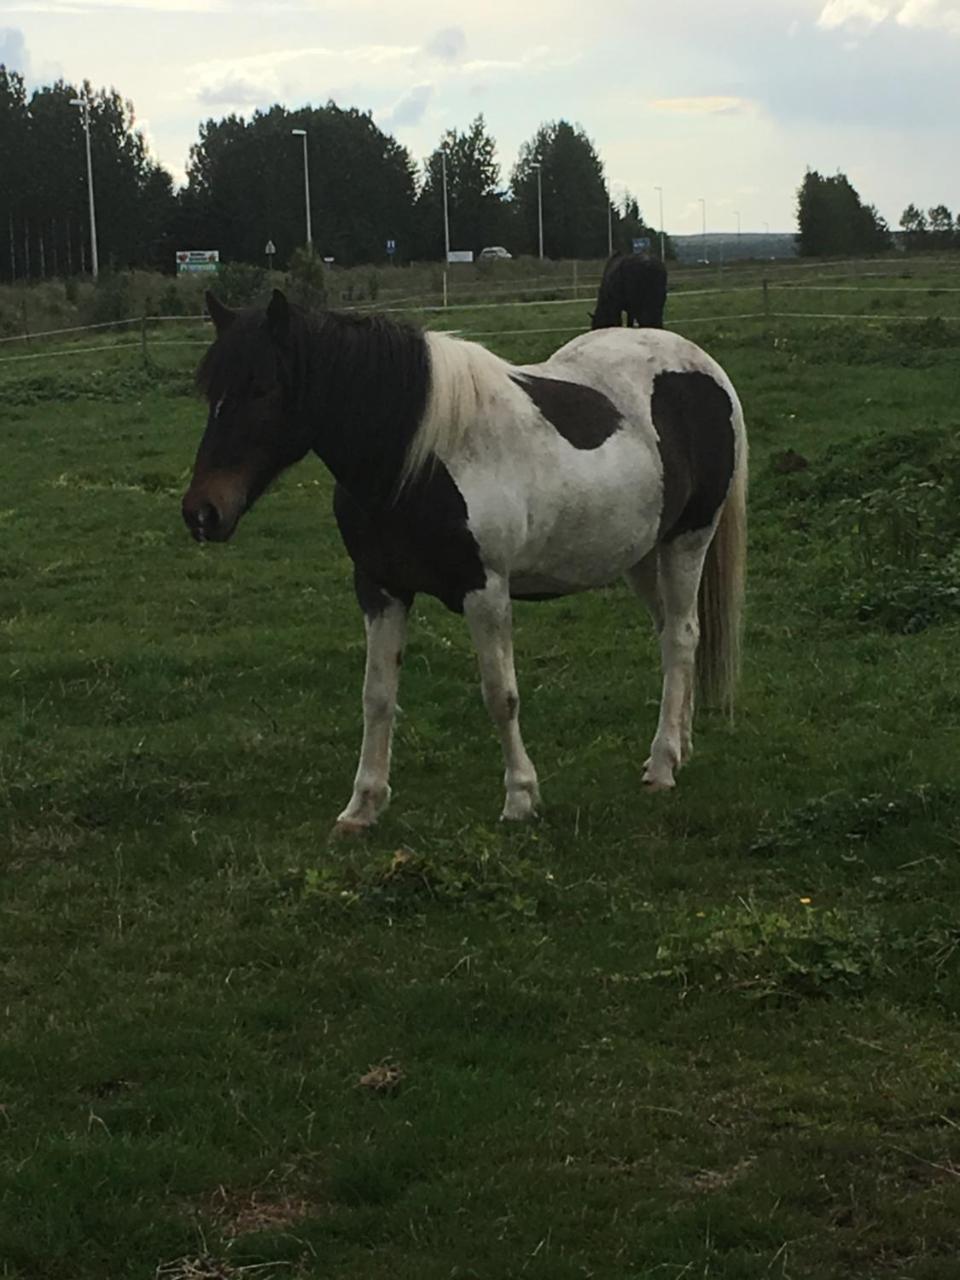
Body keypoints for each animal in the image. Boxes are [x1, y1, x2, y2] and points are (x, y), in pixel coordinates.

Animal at [184, 289, 747, 829]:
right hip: (643, 554)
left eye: (262, 389)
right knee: (673, 634)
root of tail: (706, 369)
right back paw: (679, 746)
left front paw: (520, 798)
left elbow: (501, 694)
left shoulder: (486, 590)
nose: (202, 512)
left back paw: (662, 764)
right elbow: (377, 696)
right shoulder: (380, 588)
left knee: (681, 637)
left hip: (688, 539)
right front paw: (363, 805)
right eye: (209, 391)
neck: (418, 459)